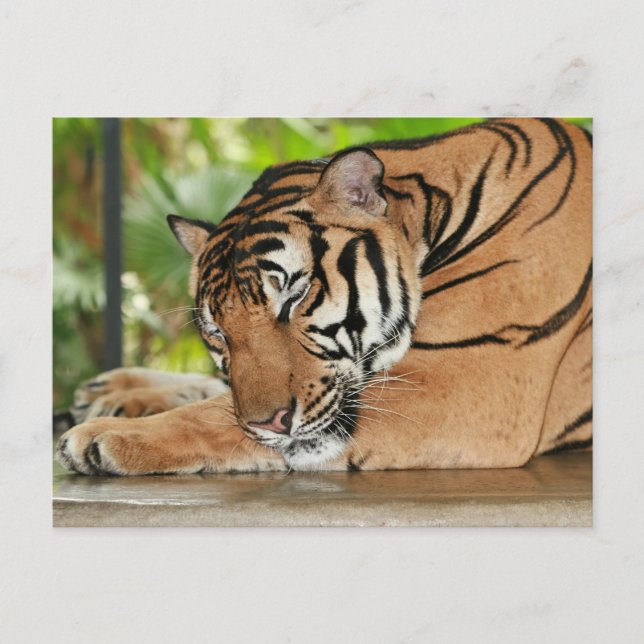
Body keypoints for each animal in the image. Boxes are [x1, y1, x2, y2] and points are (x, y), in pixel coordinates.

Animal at [55, 118, 592, 476]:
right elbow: (219, 395)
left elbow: (213, 415)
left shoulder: (463, 383)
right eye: (218, 334)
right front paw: (118, 397)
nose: (272, 424)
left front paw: (101, 436)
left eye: (294, 297)